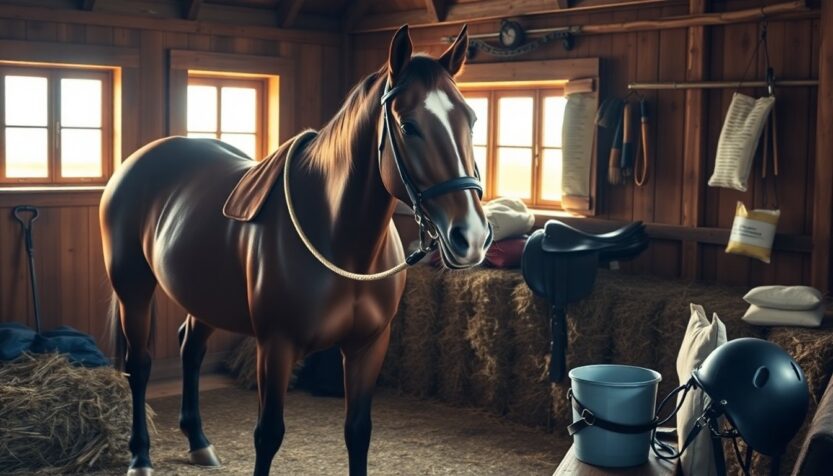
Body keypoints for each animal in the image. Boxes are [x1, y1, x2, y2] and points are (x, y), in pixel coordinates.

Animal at [100, 24, 491, 476]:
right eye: (409, 126)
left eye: (471, 120)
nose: (471, 236)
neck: (343, 246)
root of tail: (136, 163)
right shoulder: (276, 347)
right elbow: (268, 435)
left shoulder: (368, 346)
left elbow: (358, 432)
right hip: (133, 288)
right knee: (140, 364)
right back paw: (140, 455)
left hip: (205, 297)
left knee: (191, 349)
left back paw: (198, 442)